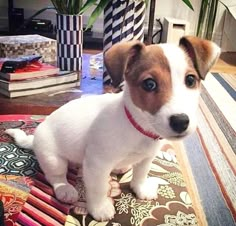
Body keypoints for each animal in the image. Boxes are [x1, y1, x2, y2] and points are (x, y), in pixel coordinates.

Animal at [5, 36, 219, 222]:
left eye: (190, 80)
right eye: (149, 84)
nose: (181, 122)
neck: (137, 127)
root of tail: (34, 138)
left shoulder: (147, 158)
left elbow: (141, 174)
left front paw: (140, 188)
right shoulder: (97, 164)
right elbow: (98, 188)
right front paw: (99, 208)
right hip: (53, 158)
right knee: (55, 176)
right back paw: (65, 189)